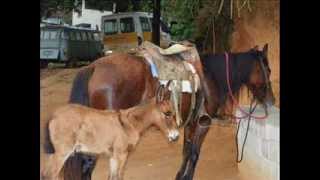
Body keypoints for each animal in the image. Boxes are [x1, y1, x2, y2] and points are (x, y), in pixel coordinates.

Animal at [40, 82, 178, 180]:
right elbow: (118, 177)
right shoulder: (121, 155)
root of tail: (54, 115)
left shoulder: (113, 157)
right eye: (167, 113)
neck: (130, 123)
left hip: (55, 153)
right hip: (63, 152)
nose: (176, 136)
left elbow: (112, 177)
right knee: (50, 175)